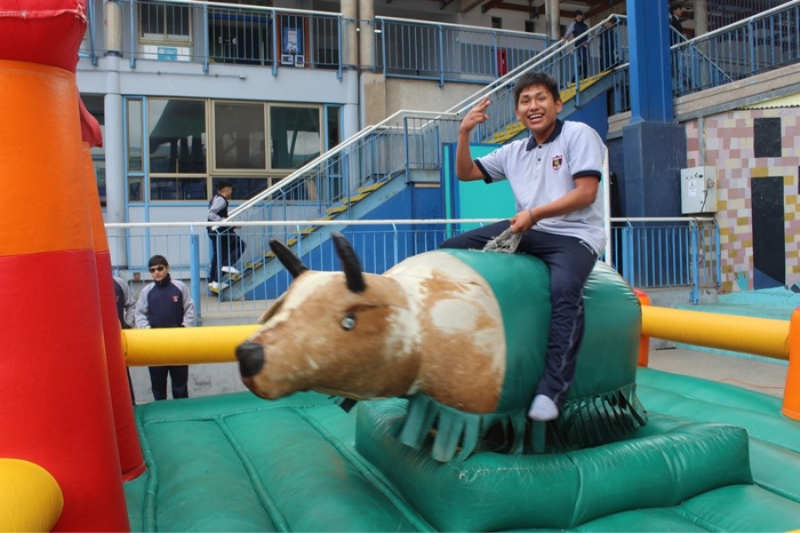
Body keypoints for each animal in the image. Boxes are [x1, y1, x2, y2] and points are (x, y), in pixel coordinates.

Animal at [234, 233, 648, 462]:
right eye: (282, 305)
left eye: (349, 321)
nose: (249, 355)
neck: (417, 315)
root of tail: (621, 282)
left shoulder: (472, 401)